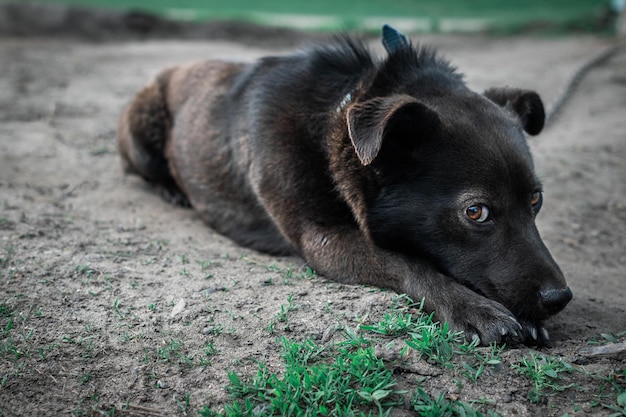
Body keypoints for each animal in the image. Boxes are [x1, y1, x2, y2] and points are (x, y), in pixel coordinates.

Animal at [117, 25, 572, 344]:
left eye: (536, 200)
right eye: (476, 212)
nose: (559, 299)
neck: (335, 116)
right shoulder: (321, 238)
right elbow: (406, 262)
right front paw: (476, 309)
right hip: (140, 127)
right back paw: (172, 190)